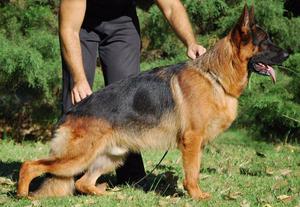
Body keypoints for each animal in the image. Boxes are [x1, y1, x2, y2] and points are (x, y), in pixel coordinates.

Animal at [18, 4, 288, 199]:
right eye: (265, 42)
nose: (288, 53)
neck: (216, 76)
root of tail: (72, 112)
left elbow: (195, 171)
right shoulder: (191, 142)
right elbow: (192, 174)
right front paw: (197, 196)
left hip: (111, 156)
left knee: (83, 182)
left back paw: (103, 194)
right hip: (77, 158)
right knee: (30, 165)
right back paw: (23, 195)